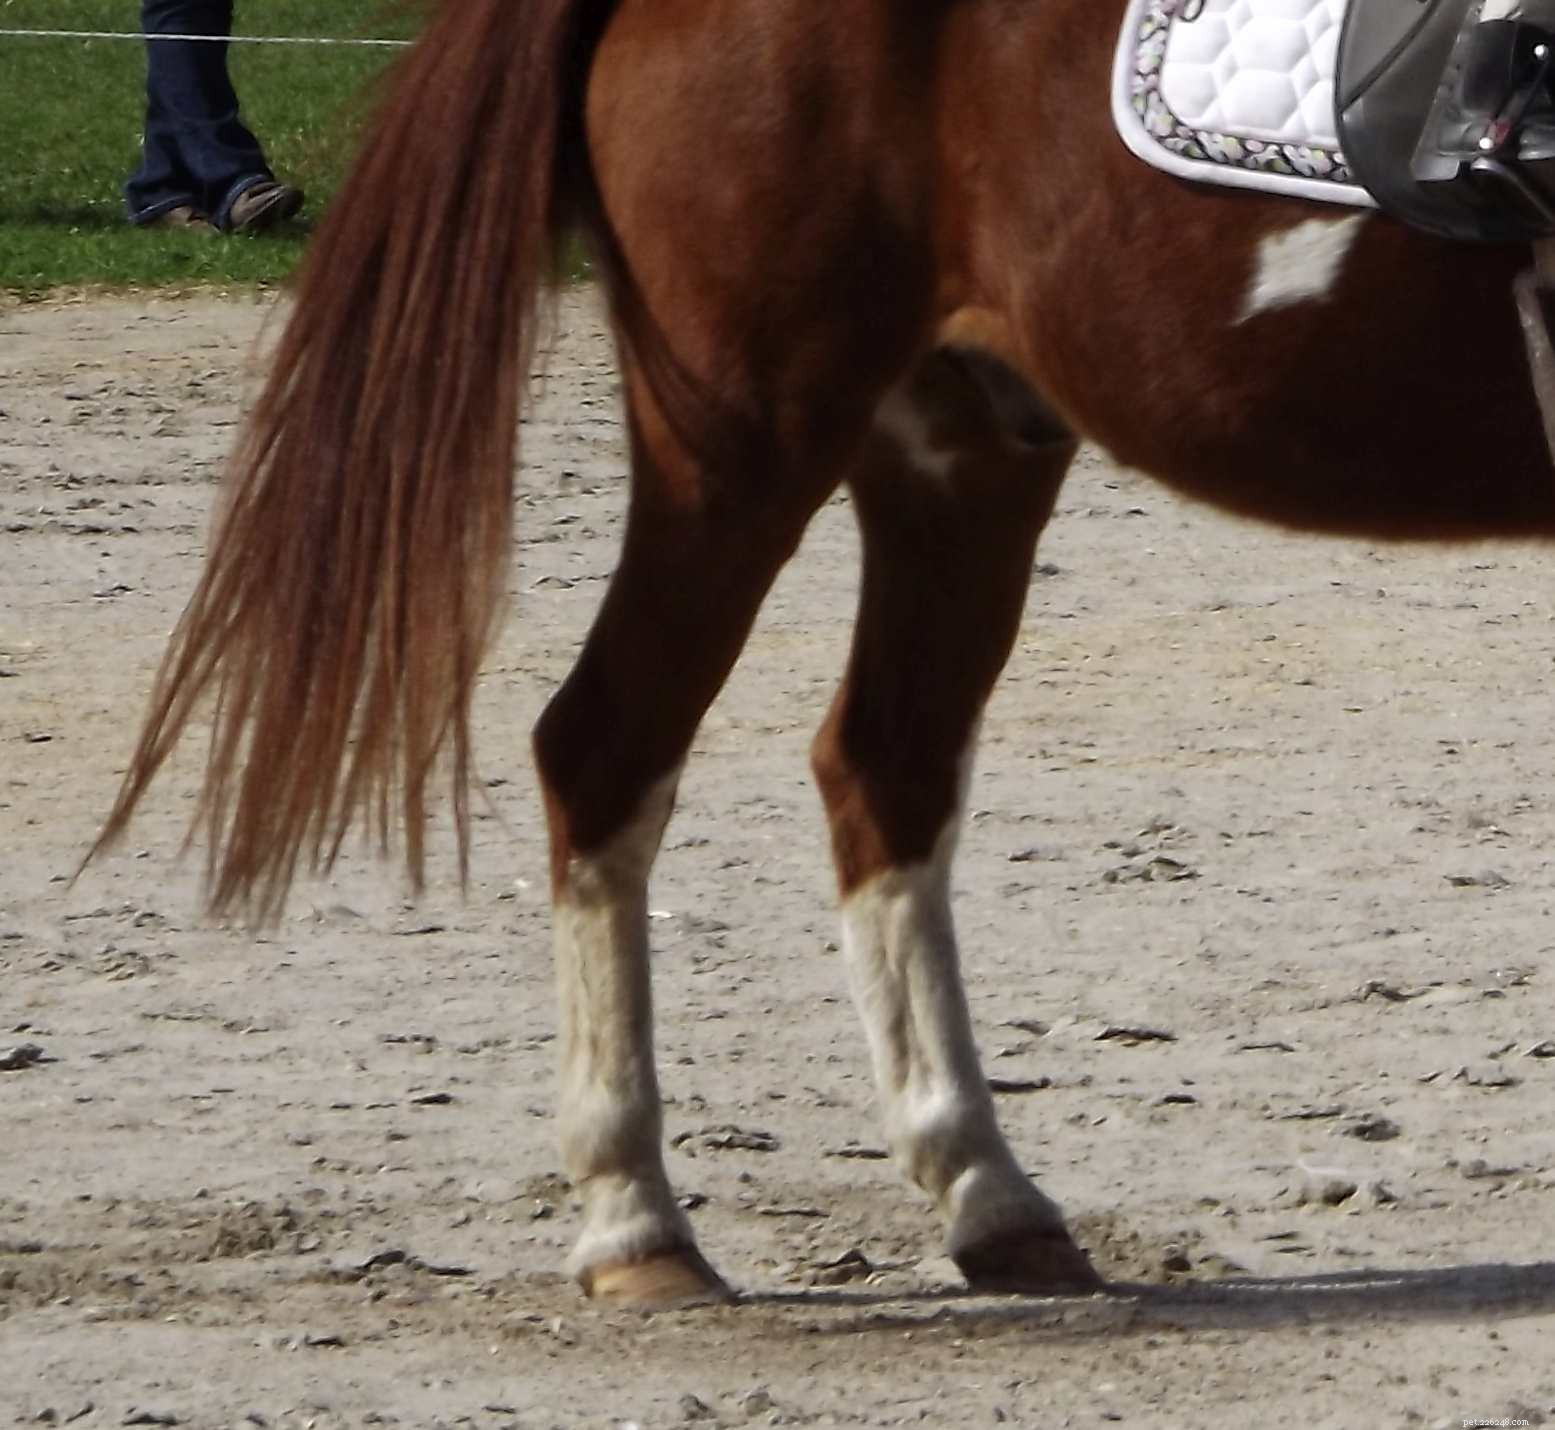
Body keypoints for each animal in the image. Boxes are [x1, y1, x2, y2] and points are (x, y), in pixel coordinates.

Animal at [91, 0, 1555, 1310]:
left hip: (955, 452)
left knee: (883, 769)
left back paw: (985, 1193)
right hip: (743, 445)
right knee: (609, 747)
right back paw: (635, 1220)